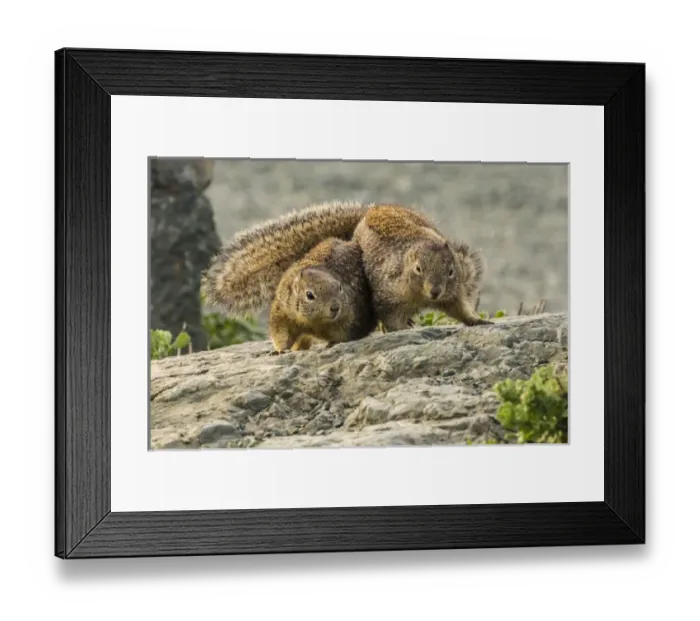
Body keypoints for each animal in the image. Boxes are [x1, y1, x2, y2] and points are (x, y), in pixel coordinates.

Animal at [201, 200, 490, 332]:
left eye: (451, 271)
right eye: (418, 269)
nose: (435, 291)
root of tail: (367, 212)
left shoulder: (453, 292)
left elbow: (459, 307)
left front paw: (477, 320)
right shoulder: (387, 294)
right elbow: (390, 316)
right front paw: (398, 329)